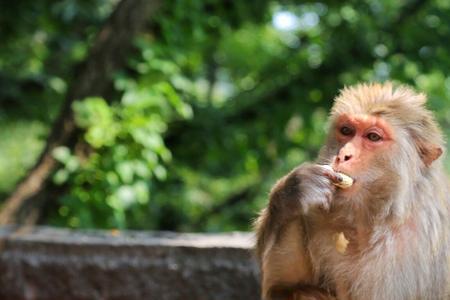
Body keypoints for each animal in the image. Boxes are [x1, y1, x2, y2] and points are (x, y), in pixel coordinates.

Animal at [255, 82, 450, 300]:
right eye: (346, 130)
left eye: (373, 136)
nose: (343, 155)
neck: (371, 219)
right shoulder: (308, 215)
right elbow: (279, 289)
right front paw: (294, 191)